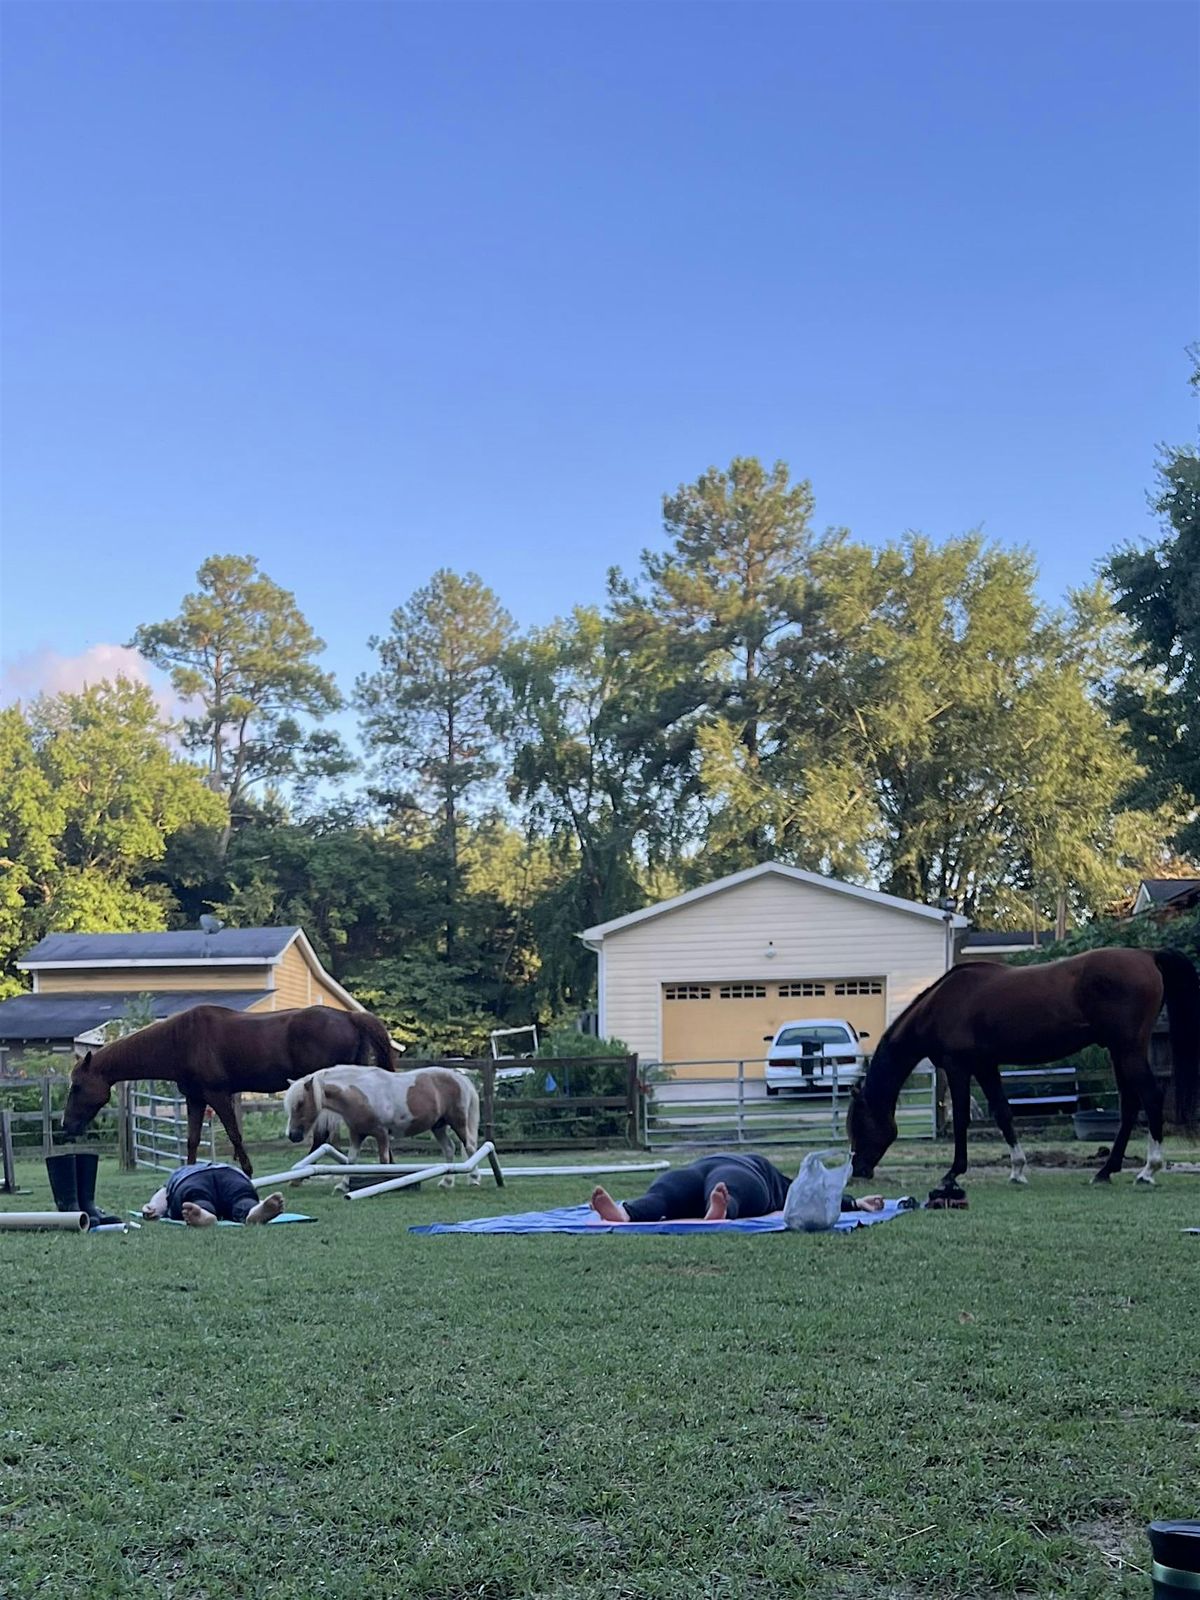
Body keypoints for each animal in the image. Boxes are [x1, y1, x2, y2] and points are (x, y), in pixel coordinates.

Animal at [284, 1062, 483, 1190]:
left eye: (300, 1103)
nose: (293, 1135)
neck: (359, 1094)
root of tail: (459, 1077)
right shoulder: (357, 1134)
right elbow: (351, 1161)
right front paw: (343, 1185)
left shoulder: (381, 1134)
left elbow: (384, 1161)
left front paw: (385, 1183)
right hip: (438, 1126)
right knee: (449, 1149)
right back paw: (447, 1182)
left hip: (458, 1122)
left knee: (470, 1147)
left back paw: (474, 1179)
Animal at [851, 947, 1196, 1190]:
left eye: (858, 1125)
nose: (858, 1171)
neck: (940, 1005)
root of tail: (1147, 955)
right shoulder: (986, 1066)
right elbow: (1003, 1113)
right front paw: (1017, 1169)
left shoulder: (958, 1067)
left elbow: (961, 1119)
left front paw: (953, 1173)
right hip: (1119, 1052)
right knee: (1129, 1106)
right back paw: (1105, 1171)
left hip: (1128, 1050)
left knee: (1151, 1097)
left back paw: (1148, 1170)